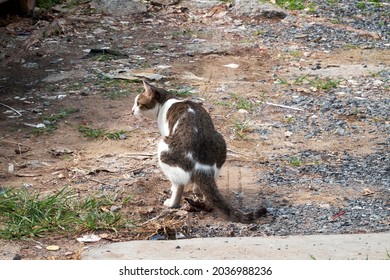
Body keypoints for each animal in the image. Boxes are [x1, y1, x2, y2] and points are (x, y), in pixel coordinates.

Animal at [133, 80, 266, 223]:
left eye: (138, 103)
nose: (132, 110)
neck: (166, 100)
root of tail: (201, 165)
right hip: (221, 144)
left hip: (163, 148)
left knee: (178, 186)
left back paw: (171, 202)